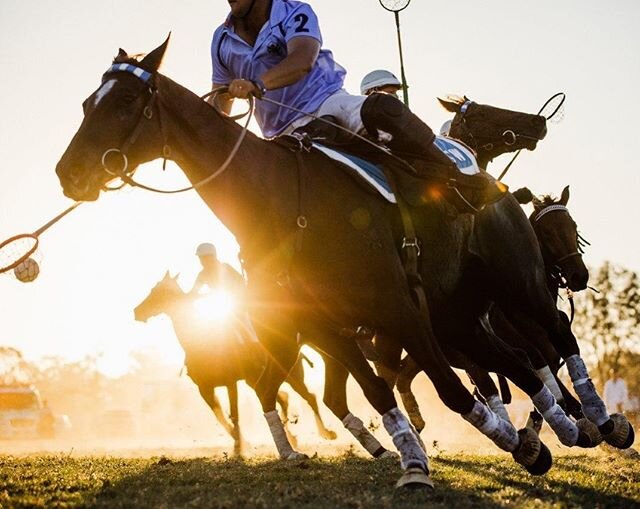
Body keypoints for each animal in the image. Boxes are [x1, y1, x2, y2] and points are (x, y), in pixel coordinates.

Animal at [132, 272, 338, 454]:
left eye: (159, 291)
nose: (137, 311)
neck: (200, 342)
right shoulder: (204, 388)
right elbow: (221, 416)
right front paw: (241, 441)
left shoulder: (230, 382)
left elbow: (233, 414)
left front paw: (240, 445)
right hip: (257, 379)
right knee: (282, 398)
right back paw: (293, 436)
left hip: (291, 374)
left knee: (309, 397)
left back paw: (326, 433)